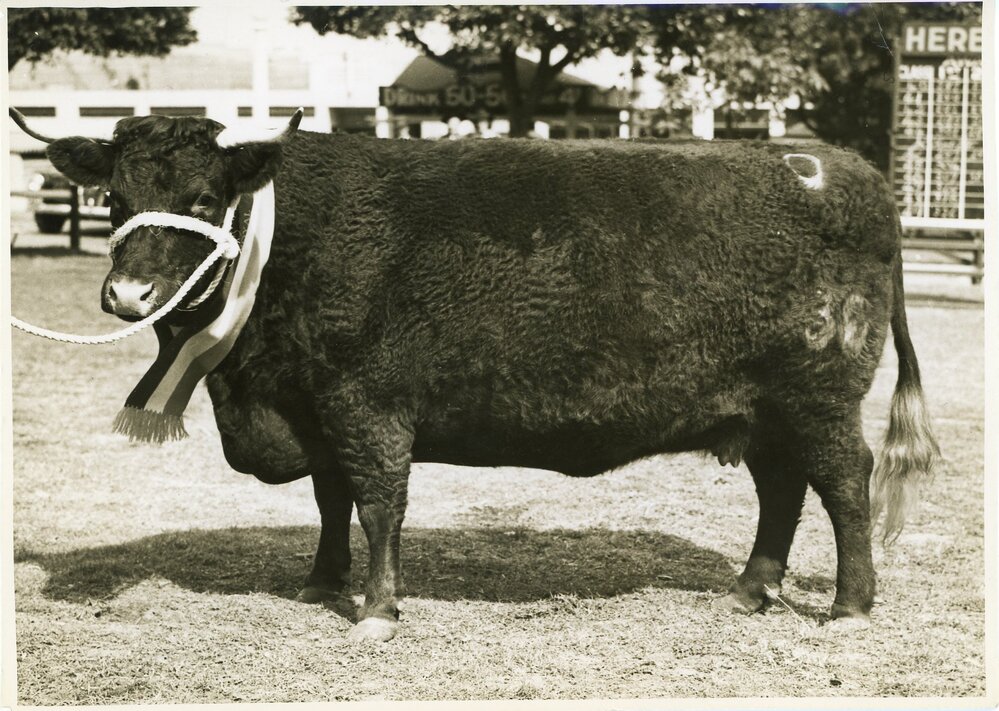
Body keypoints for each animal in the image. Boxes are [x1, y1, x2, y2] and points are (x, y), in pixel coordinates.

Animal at [12, 107, 938, 642]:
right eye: (112, 196)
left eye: (204, 199)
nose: (126, 293)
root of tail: (838, 166)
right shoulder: (316, 406)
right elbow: (330, 498)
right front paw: (320, 581)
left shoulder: (367, 400)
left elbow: (378, 501)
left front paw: (377, 610)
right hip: (760, 407)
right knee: (781, 488)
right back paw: (750, 590)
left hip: (817, 395)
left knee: (843, 483)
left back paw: (849, 604)